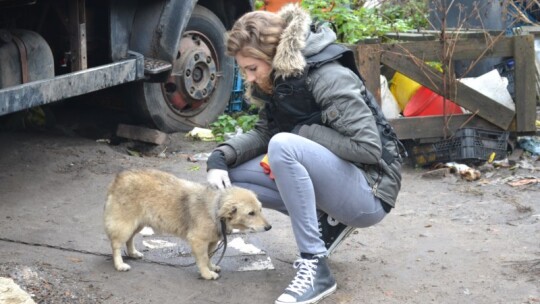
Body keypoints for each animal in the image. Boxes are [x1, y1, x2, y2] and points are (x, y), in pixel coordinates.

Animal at [103, 169, 272, 280]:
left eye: (260, 209)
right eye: (251, 213)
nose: (269, 227)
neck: (216, 208)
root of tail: (119, 178)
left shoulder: (211, 241)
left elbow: (209, 256)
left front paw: (211, 267)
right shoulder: (198, 241)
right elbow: (202, 258)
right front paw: (206, 273)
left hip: (137, 223)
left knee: (130, 239)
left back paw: (132, 253)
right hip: (125, 225)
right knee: (116, 245)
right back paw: (119, 264)